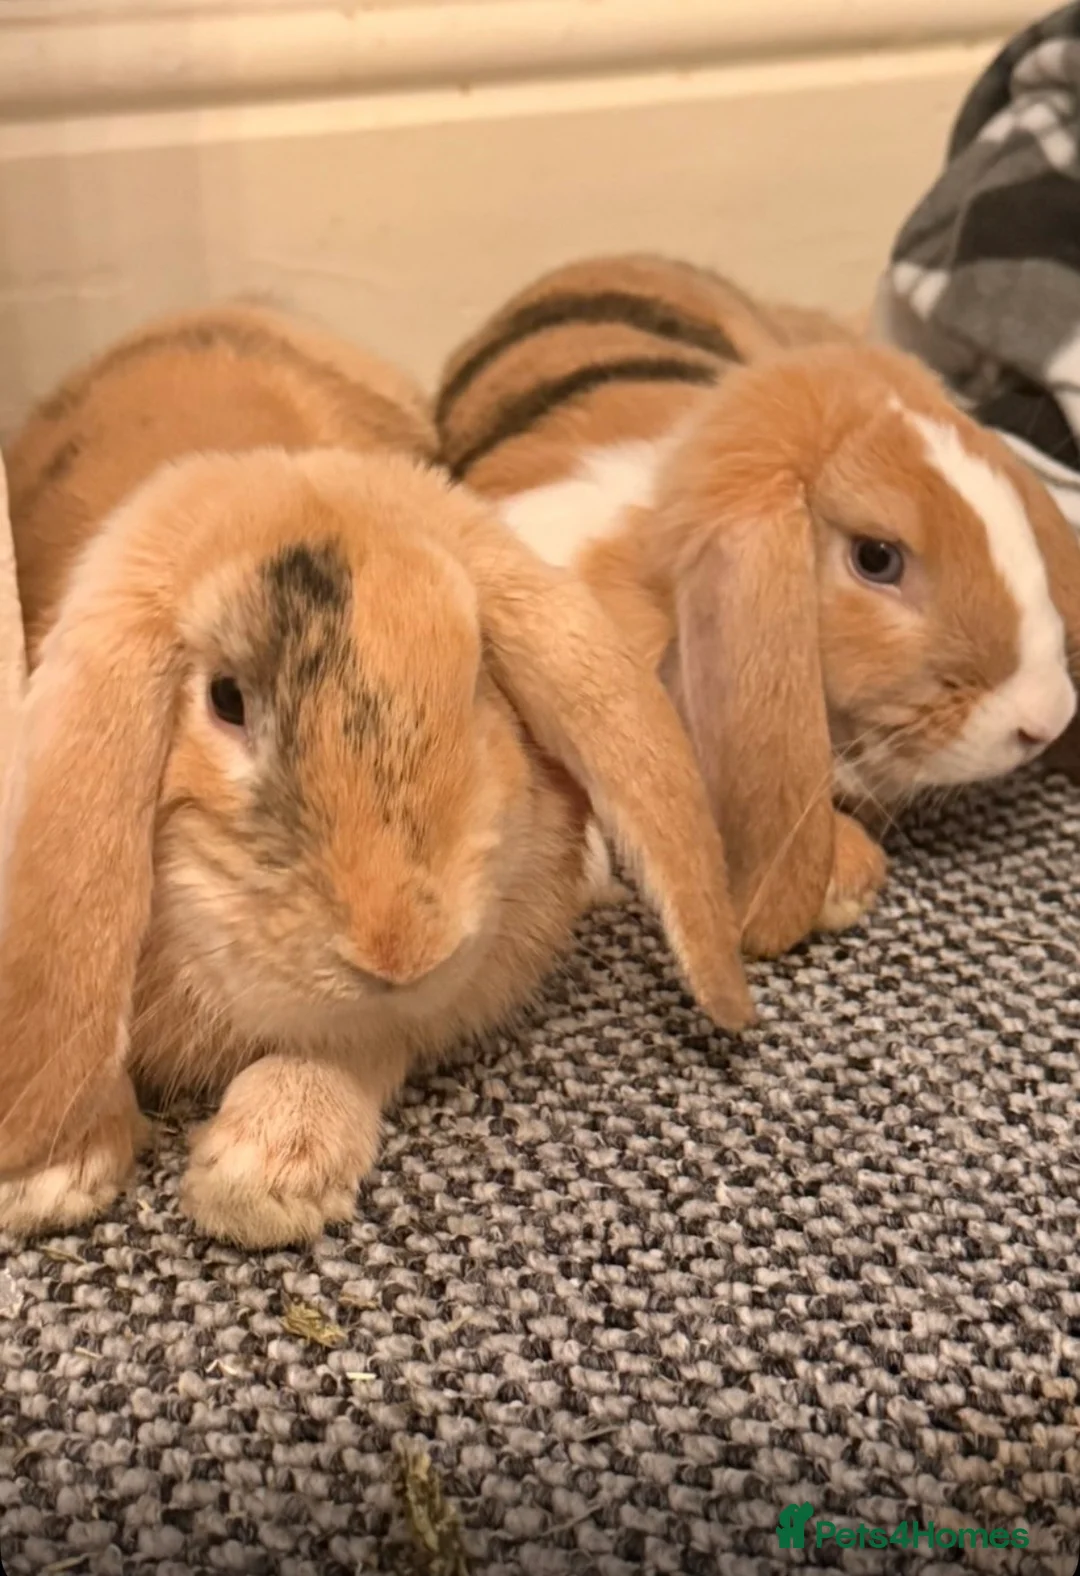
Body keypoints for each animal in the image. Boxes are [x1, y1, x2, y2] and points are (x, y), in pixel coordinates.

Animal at [0, 305, 752, 1248]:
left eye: (478, 679)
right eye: (225, 700)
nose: (401, 948)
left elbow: (360, 1045)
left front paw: (262, 1175)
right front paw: (50, 1174)